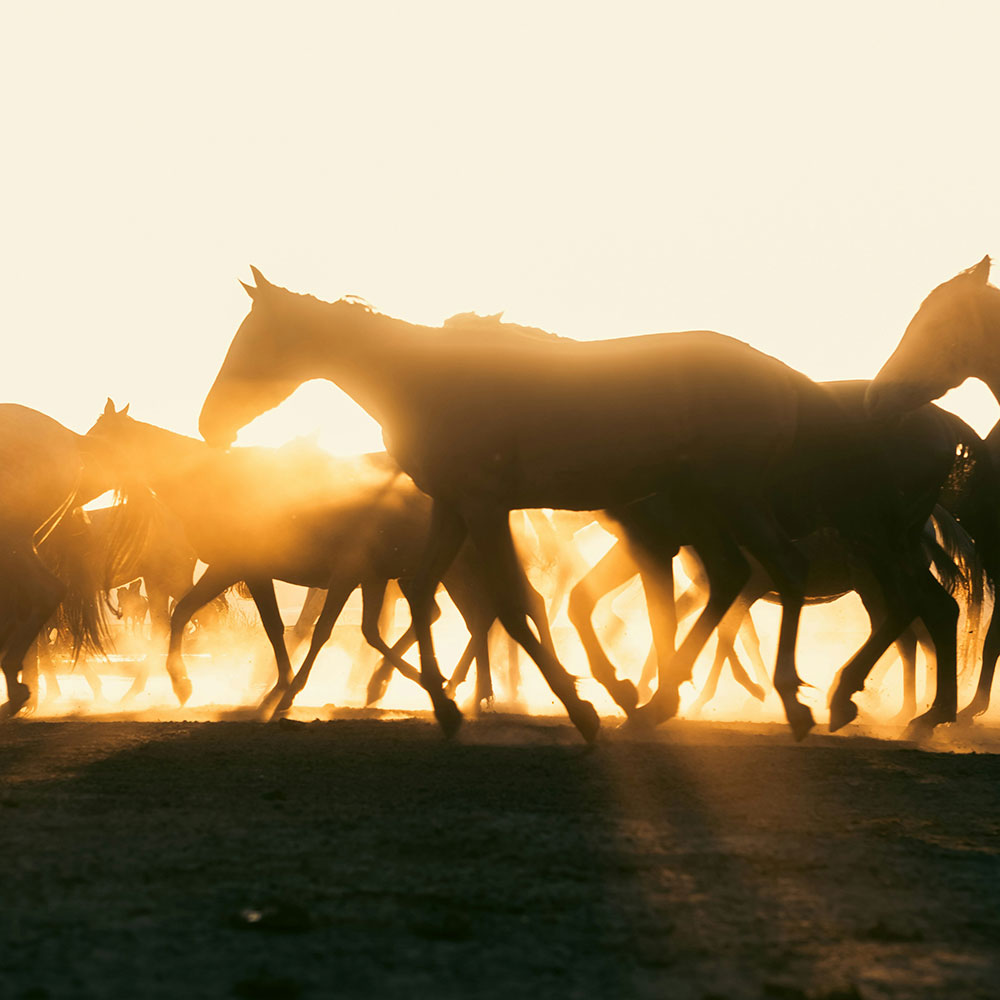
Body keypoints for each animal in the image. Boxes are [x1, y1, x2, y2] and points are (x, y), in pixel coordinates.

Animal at [198, 271, 966, 742]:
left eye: (253, 339)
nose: (210, 424)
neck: (429, 378)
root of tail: (781, 376)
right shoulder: (454, 507)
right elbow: (422, 592)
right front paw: (446, 706)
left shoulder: (485, 507)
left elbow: (514, 605)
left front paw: (583, 707)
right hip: (731, 513)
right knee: (754, 582)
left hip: (747, 501)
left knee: (794, 572)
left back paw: (804, 701)